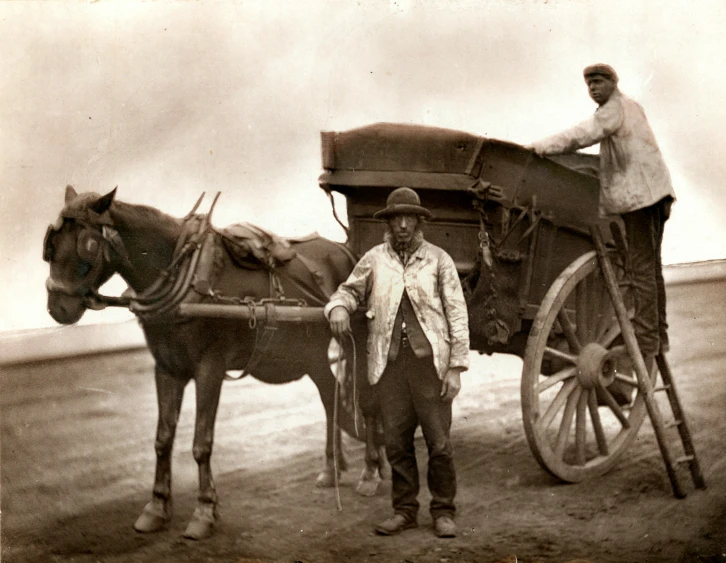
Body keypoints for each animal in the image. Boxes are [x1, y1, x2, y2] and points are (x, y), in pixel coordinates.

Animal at [43, 186, 390, 540]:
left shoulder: (210, 368)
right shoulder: (166, 369)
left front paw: (205, 511)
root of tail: (348, 252)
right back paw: (332, 468)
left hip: (356, 341)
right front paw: (156, 508)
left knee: (368, 403)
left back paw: (371, 471)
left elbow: (201, 443)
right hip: (311, 353)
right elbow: (162, 439)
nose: (58, 307)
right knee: (330, 396)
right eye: (51, 246)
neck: (185, 274)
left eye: (87, 244)